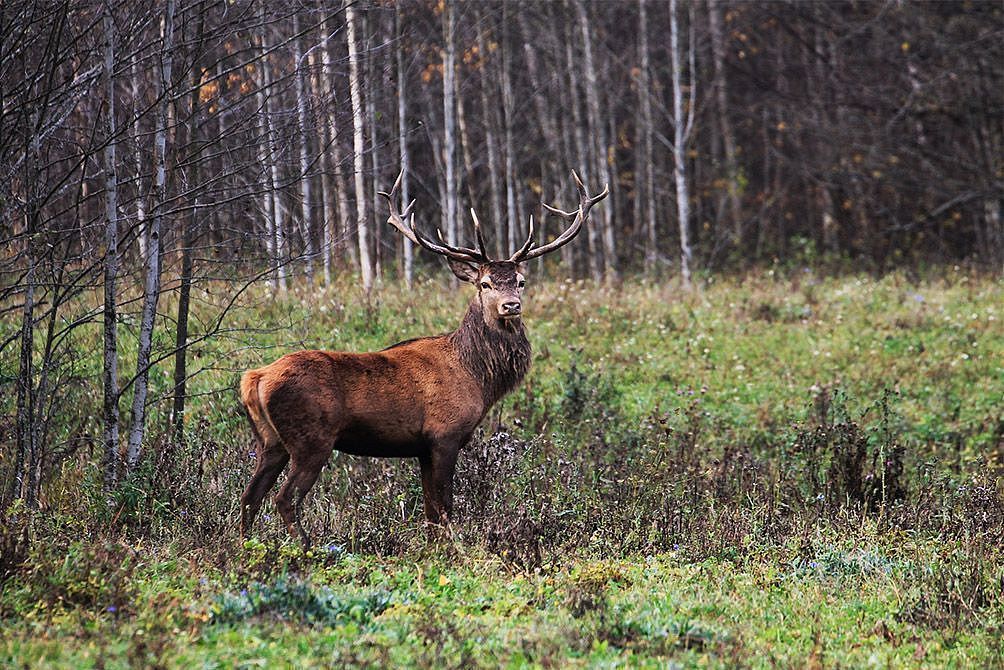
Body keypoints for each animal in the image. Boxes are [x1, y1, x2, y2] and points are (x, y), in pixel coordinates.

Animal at [238, 170, 606, 546]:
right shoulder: (444, 434)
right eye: (485, 283)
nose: (511, 306)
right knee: (284, 498)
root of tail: (255, 378)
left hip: (270, 441)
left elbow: (430, 512)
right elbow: (444, 508)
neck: (478, 377)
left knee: (250, 495)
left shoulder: (423, 447)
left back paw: (244, 548)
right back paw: (306, 548)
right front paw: (452, 549)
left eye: (520, 280)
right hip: (311, 439)